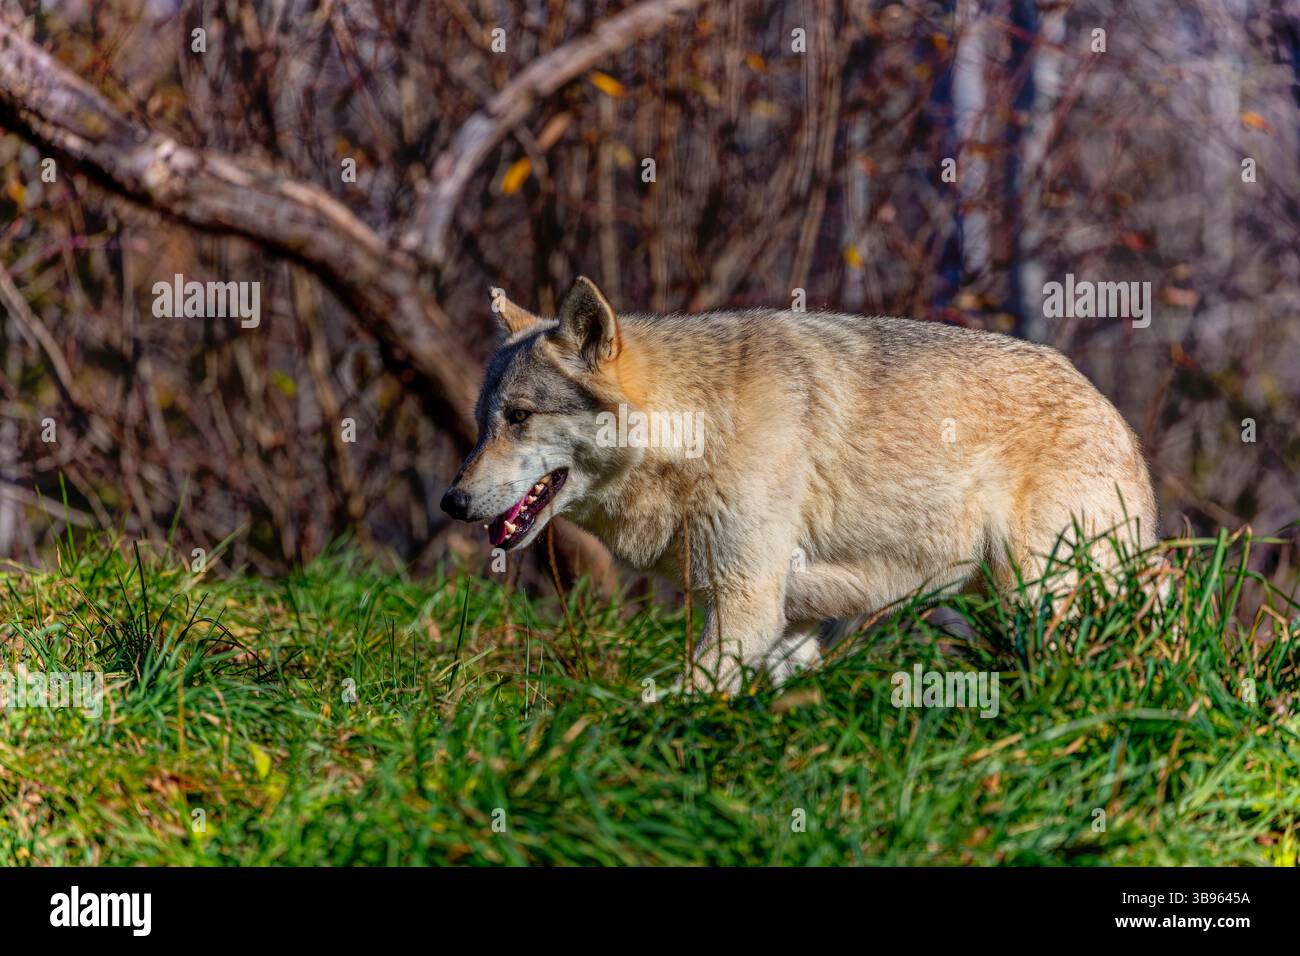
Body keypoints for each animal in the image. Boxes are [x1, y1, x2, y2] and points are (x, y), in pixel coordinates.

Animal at [441, 277, 1158, 692]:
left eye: (519, 417)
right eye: (483, 423)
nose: (451, 501)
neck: (699, 423)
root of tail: (1109, 409)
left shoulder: (746, 605)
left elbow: (687, 695)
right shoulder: (791, 623)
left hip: (1038, 593)